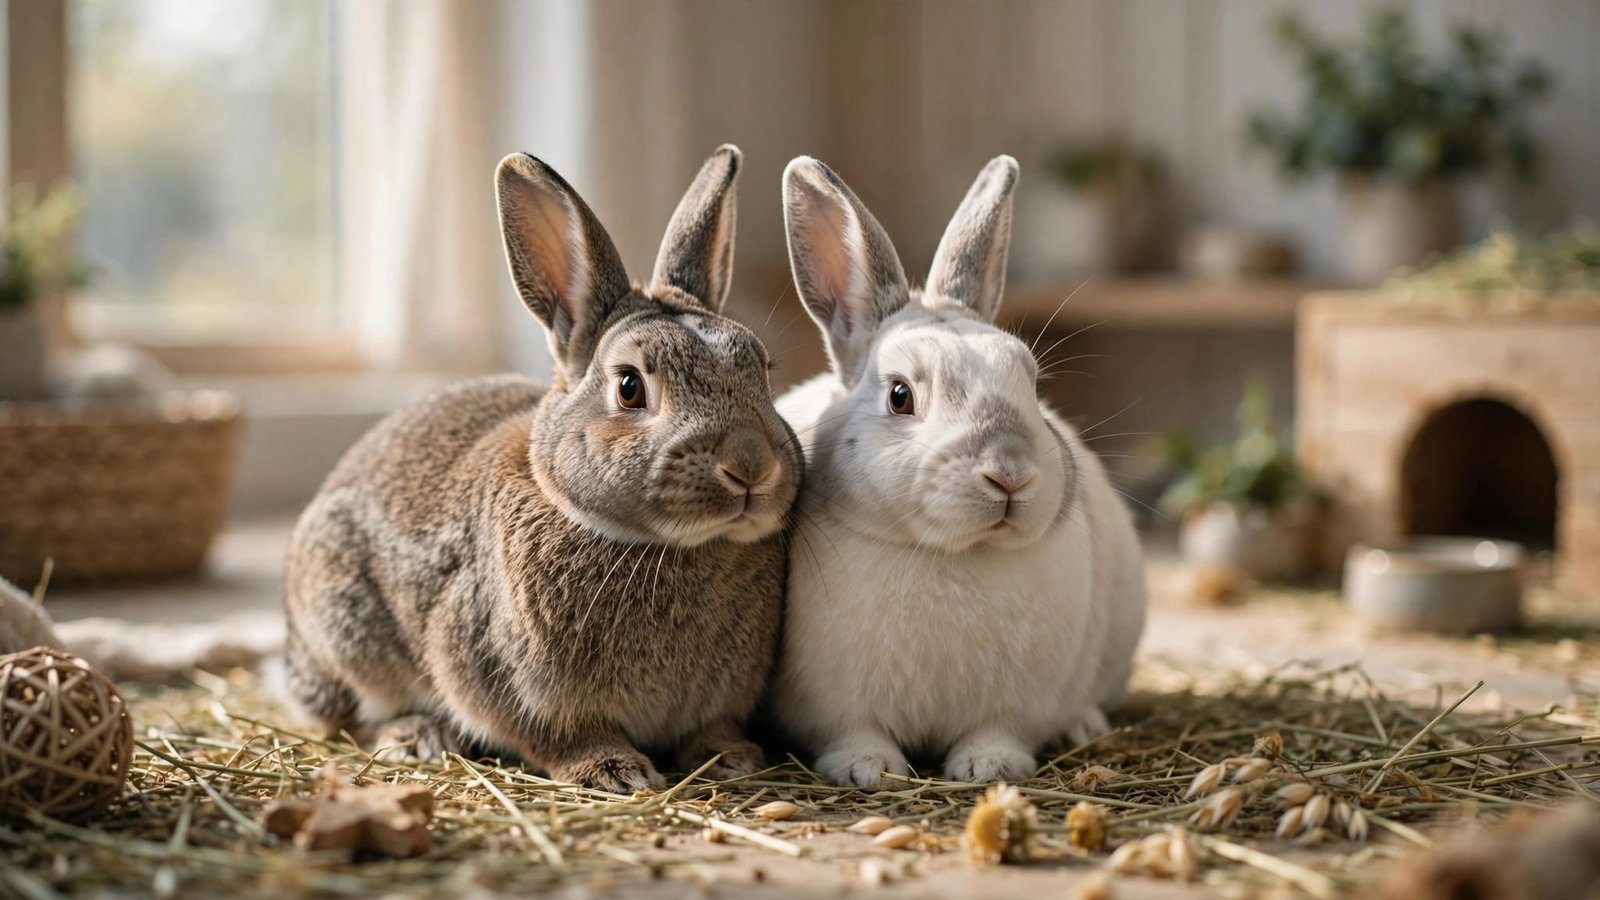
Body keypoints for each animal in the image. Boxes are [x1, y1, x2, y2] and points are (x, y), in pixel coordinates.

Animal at [283, 145, 802, 793]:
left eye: (762, 368)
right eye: (630, 387)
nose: (751, 467)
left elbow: (713, 726)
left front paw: (732, 756)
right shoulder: (499, 672)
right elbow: (556, 734)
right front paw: (613, 771)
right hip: (347, 628)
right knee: (356, 713)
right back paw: (418, 735)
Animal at [771, 155, 1146, 789]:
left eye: (1032, 384)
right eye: (899, 395)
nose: (1009, 473)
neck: (951, 554)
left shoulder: (1018, 706)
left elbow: (997, 733)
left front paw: (987, 767)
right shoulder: (832, 707)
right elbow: (855, 734)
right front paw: (869, 770)